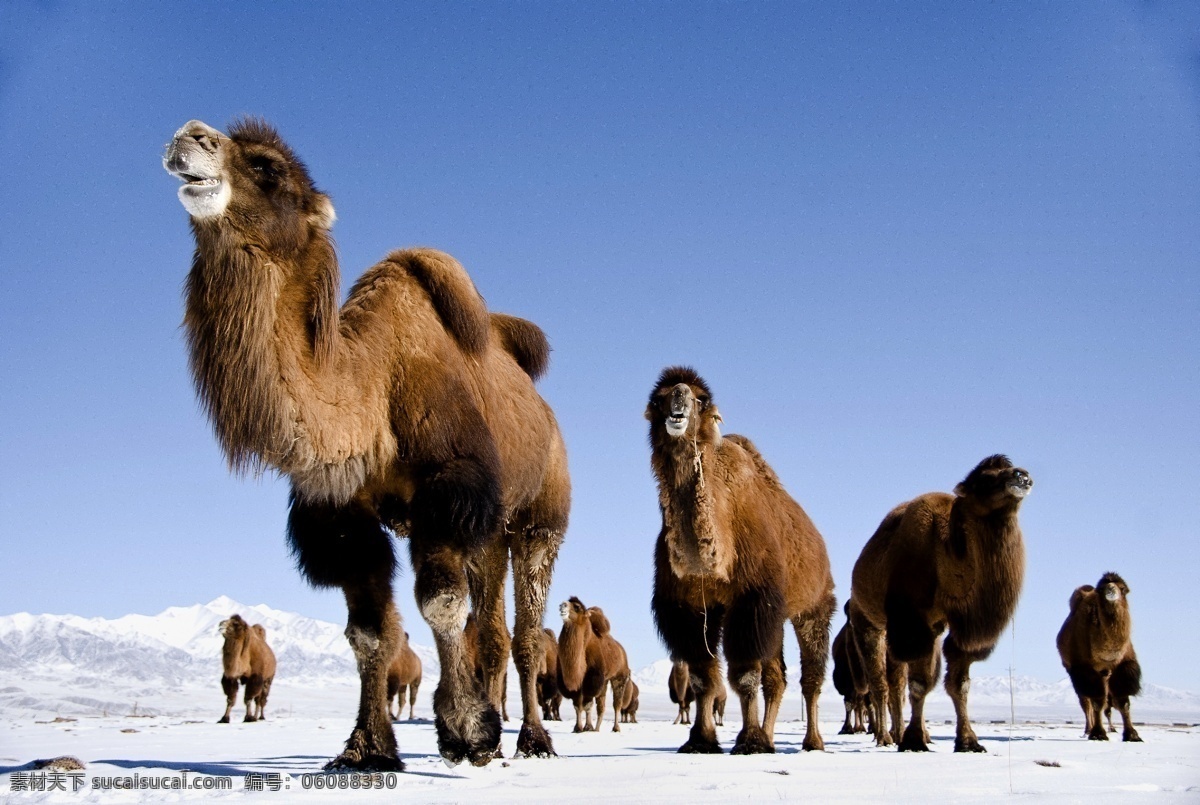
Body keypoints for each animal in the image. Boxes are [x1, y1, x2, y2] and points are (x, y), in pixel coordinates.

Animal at [164, 118, 571, 767]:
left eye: (267, 167)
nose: (190, 136)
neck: (373, 387)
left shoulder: (449, 489)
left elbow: (438, 603)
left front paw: (467, 733)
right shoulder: (340, 514)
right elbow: (368, 631)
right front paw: (367, 749)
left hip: (540, 519)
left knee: (527, 632)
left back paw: (532, 740)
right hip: (492, 530)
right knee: (491, 627)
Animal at [559, 597, 638, 739]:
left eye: (577, 606)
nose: (562, 605)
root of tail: (623, 653)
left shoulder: (592, 678)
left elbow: (587, 705)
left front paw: (587, 727)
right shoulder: (578, 681)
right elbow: (578, 705)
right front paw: (578, 728)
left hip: (619, 677)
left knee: (616, 705)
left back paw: (616, 728)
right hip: (605, 681)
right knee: (601, 706)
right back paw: (597, 729)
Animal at [648, 369, 835, 758]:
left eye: (701, 398)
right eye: (658, 398)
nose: (679, 397)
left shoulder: (751, 599)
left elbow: (745, 674)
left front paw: (749, 741)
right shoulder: (689, 606)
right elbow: (703, 676)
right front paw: (700, 740)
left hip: (813, 607)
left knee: (810, 678)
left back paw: (812, 742)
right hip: (779, 616)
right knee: (777, 677)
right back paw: (771, 737)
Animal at [844, 455, 1032, 753]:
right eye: (984, 480)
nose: (1021, 475)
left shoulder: (957, 628)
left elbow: (958, 684)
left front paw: (968, 741)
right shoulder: (915, 624)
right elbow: (919, 684)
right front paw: (914, 740)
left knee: (897, 685)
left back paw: (903, 733)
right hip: (869, 624)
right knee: (880, 685)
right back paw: (885, 737)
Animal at [1060, 573, 1142, 743]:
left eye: (1122, 588)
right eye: (1102, 588)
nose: (1111, 589)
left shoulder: (1122, 667)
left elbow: (1123, 702)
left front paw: (1132, 735)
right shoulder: (1086, 669)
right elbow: (1097, 701)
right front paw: (1098, 734)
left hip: (1105, 674)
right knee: (1087, 704)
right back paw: (1088, 730)